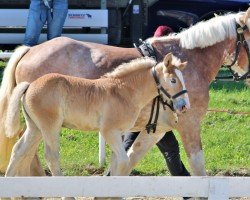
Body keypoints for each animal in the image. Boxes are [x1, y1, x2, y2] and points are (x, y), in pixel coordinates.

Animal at [0, 9, 250, 176]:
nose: (247, 76)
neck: (191, 58)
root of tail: (30, 50)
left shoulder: (157, 130)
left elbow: (130, 160)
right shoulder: (189, 125)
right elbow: (198, 167)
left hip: (38, 125)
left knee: (23, 151)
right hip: (47, 125)